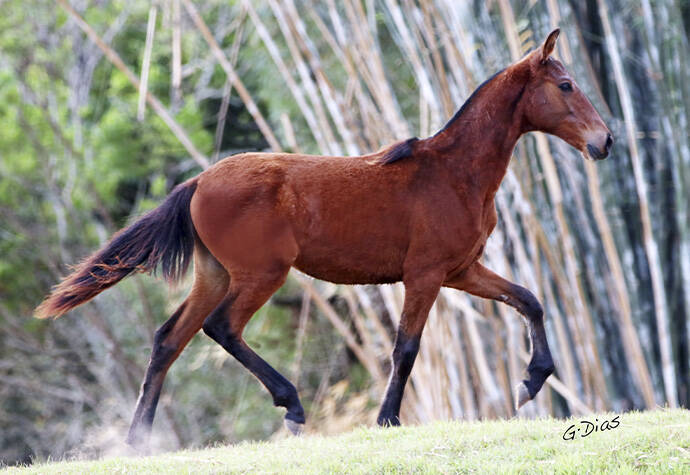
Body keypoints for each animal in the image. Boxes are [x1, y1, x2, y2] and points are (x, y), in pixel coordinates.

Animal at [35, 30, 612, 450]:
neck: (452, 173)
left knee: (168, 339)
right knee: (221, 328)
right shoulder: (425, 276)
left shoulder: (461, 271)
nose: (604, 142)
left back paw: (139, 439)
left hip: (215, 275)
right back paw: (290, 404)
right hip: (262, 275)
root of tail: (198, 181)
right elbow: (406, 347)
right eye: (566, 85)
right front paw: (387, 420)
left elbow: (529, 301)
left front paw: (531, 382)